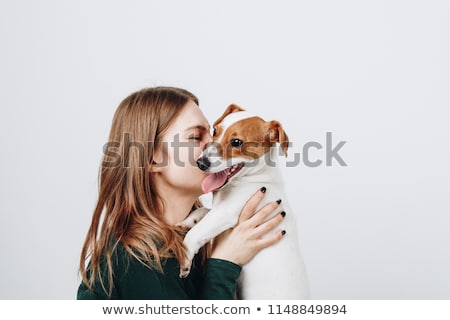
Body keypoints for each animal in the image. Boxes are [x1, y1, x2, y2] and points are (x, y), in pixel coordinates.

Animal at [178, 104, 310, 298]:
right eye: (215, 131)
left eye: (236, 142)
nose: (201, 163)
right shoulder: (220, 209)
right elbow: (204, 211)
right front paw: (188, 220)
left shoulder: (226, 212)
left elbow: (195, 233)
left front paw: (185, 258)